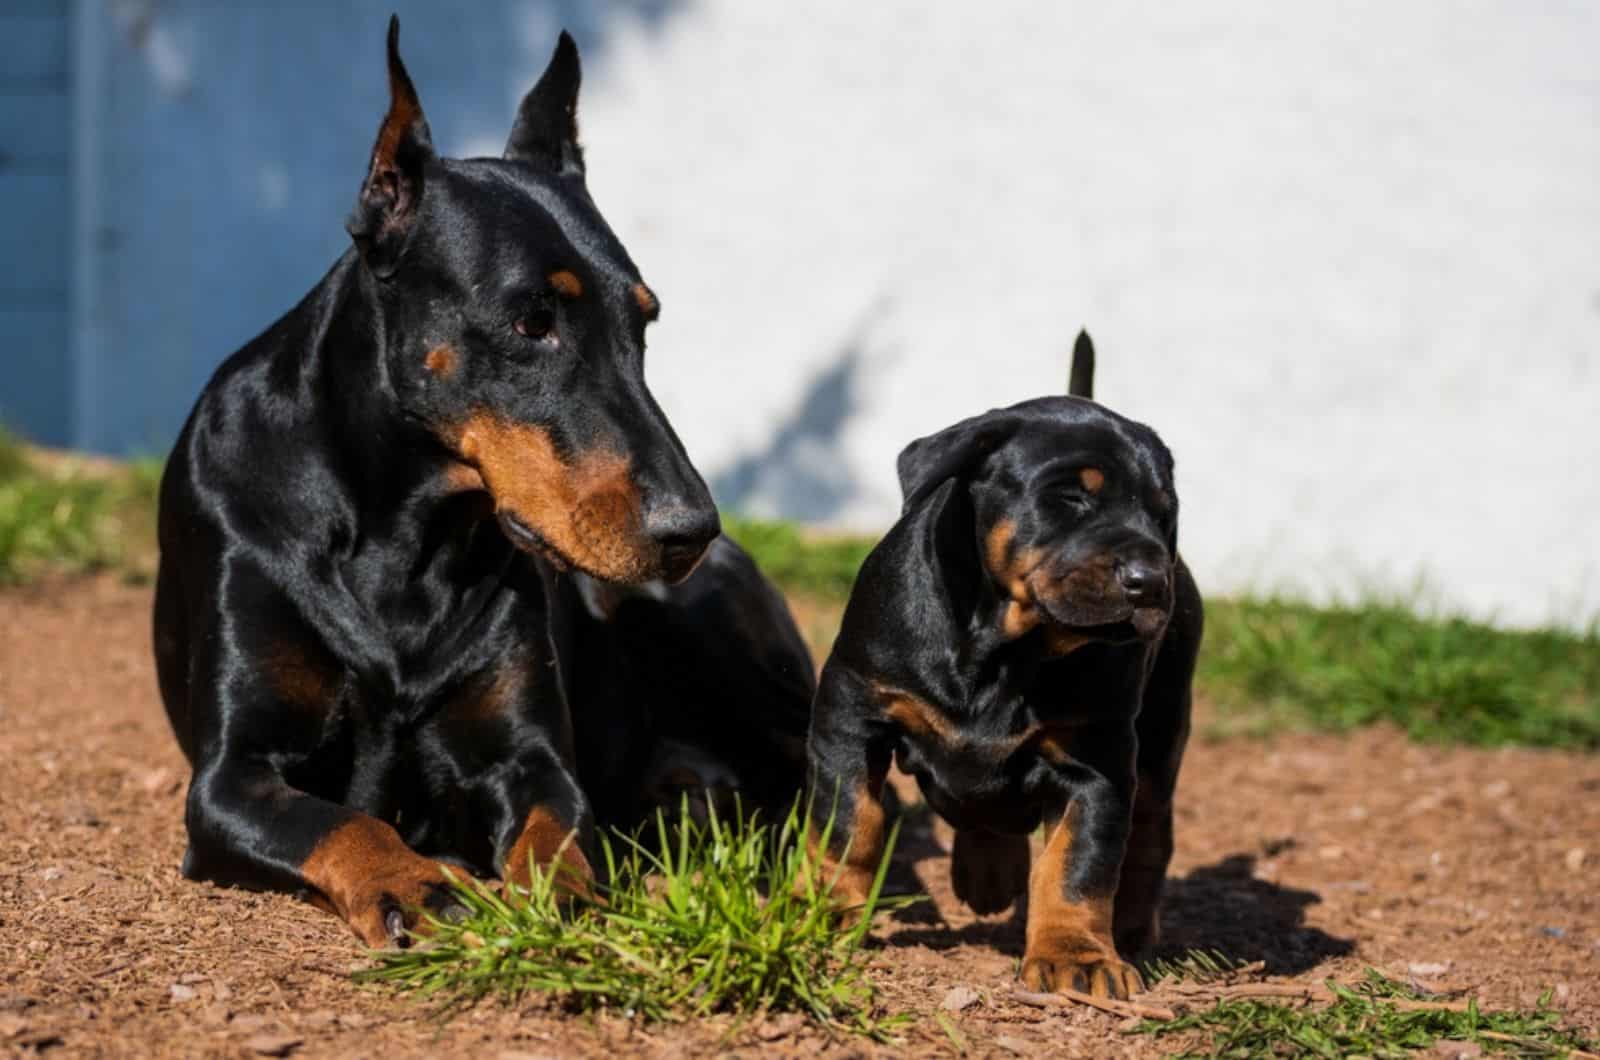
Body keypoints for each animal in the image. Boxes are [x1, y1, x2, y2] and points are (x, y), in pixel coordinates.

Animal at [152, 18, 812, 947]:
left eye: (644, 322)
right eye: (532, 322)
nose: (690, 529)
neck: (401, 534)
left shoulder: (527, 756)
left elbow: (557, 830)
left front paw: (565, 904)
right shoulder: (229, 776)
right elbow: (342, 820)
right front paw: (418, 880)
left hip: (711, 635)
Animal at [812, 336, 1203, 999]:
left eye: (1163, 514)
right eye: (1070, 497)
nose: (1150, 581)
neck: (1003, 652)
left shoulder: (1096, 760)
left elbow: (1078, 865)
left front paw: (1079, 956)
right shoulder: (851, 711)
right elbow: (849, 824)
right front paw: (824, 914)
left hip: (1162, 734)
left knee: (1149, 835)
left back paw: (1128, 929)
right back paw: (987, 872)